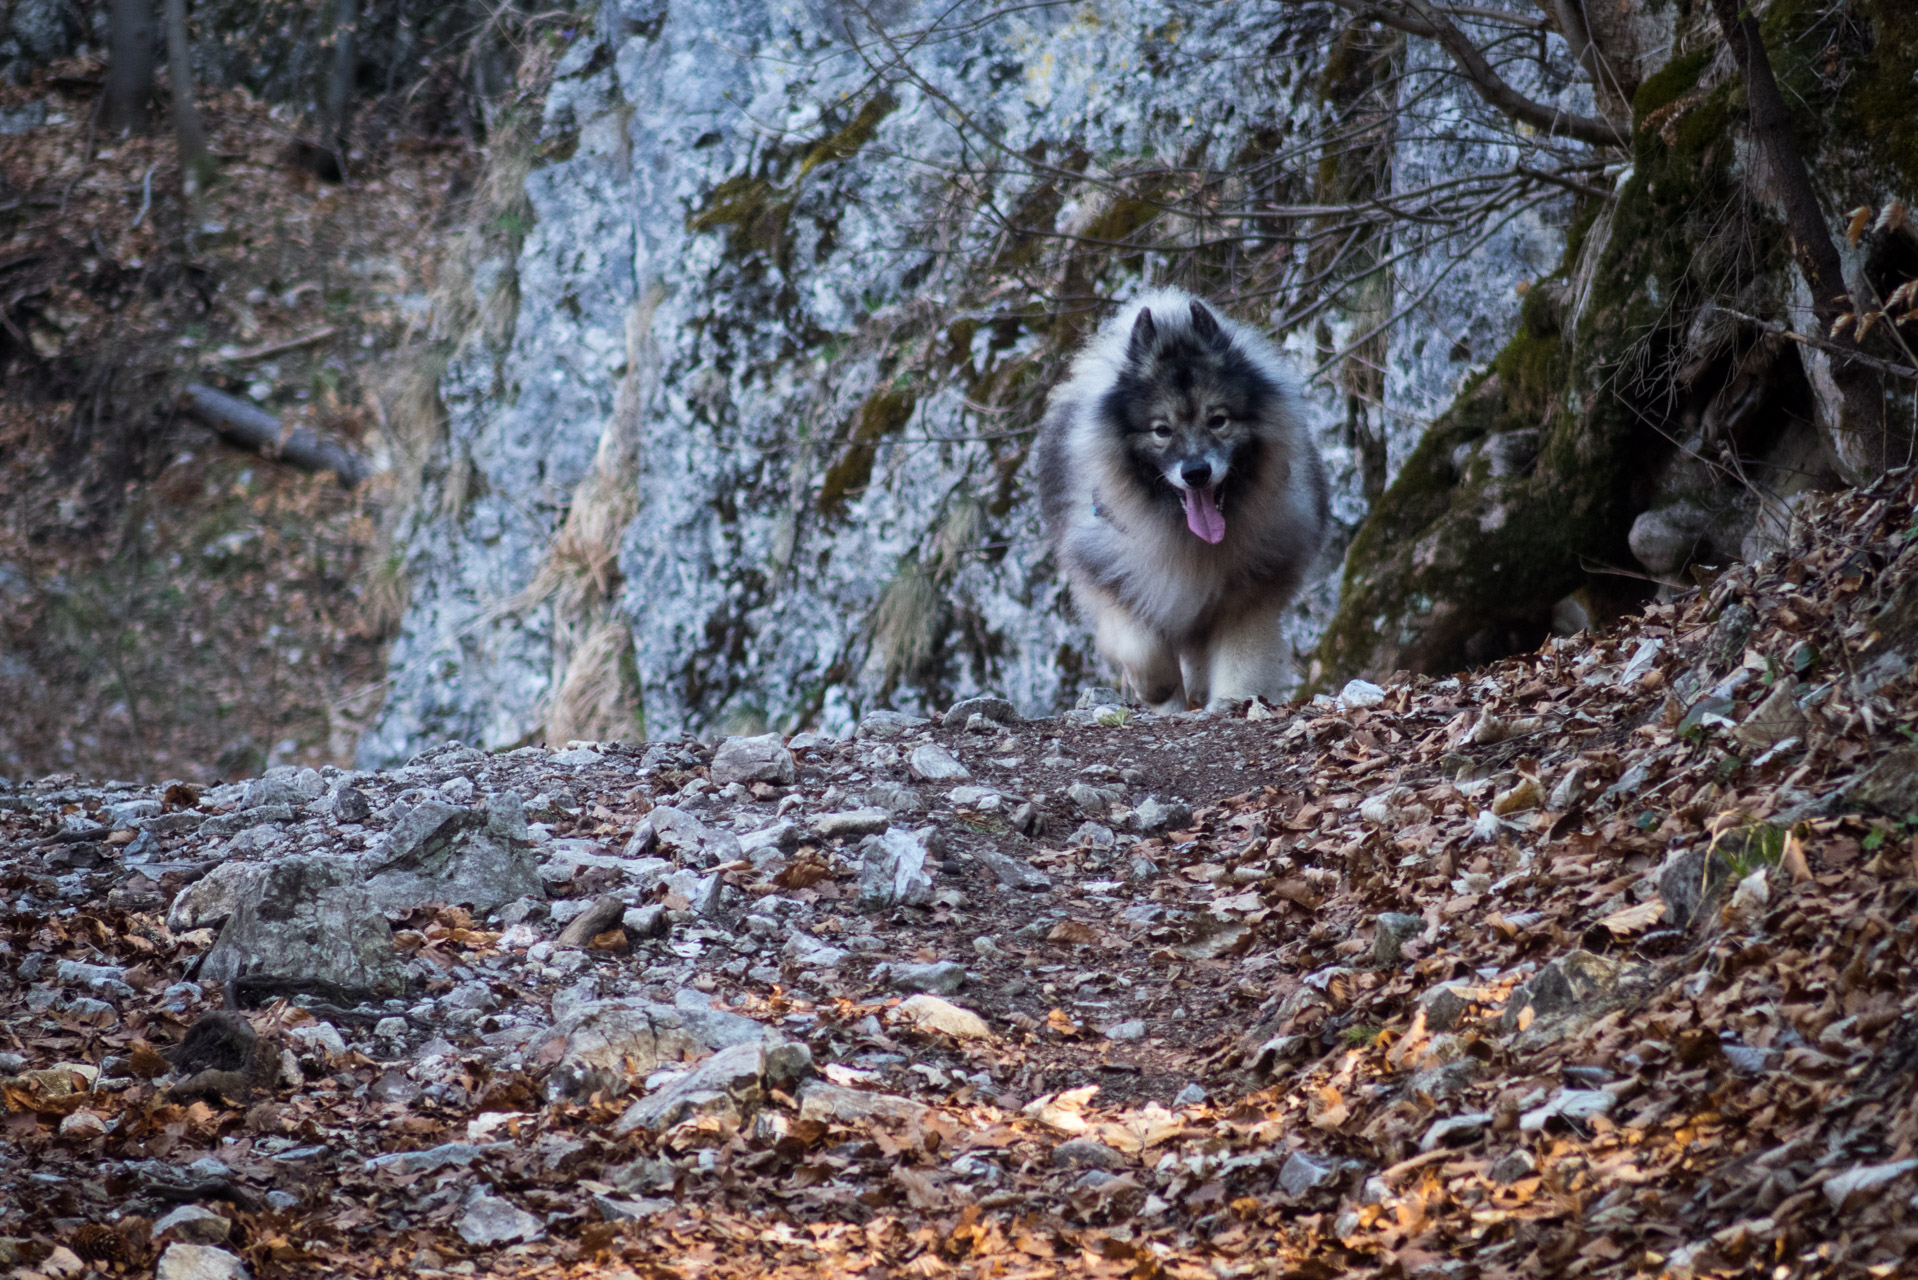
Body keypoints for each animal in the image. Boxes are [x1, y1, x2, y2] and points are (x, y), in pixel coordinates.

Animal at [1035, 285, 1334, 717]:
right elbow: (1143, 649)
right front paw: (1158, 688)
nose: (1196, 472)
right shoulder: (1112, 579)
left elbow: (1241, 654)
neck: (1186, 539)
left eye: (1218, 420)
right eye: (1162, 430)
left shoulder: (1248, 590)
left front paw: (1231, 699)